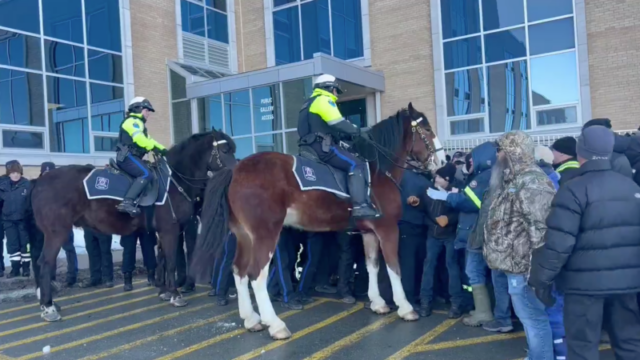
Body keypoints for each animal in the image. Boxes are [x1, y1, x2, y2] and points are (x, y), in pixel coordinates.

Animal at [30, 129, 235, 320]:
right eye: (225, 150)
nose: (237, 169)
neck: (173, 182)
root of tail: (40, 182)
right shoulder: (170, 230)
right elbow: (170, 262)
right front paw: (175, 295)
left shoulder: (163, 232)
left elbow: (161, 260)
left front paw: (164, 291)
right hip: (57, 233)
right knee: (45, 263)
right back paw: (49, 307)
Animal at [192, 102, 444, 338]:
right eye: (427, 129)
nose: (441, 161)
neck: (379, 172)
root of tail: (235, 171)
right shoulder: (388, 229)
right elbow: (394, 267)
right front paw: (405, 307)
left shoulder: (369, 232)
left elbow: (372, 266)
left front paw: (378, 303)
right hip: (265, 234)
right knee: (256, 275)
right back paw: (276, 325)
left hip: (244, 235)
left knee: (239, 271)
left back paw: (251, 320)